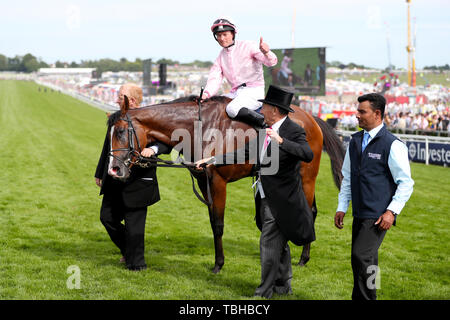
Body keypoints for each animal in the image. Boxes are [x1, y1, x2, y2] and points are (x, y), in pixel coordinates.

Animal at [108, 95, 344, 272]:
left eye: (120, 131)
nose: (114, 169)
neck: (201, 128)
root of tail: (312, 118)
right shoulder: (204, 183)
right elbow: (213, 222)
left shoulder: (218, 183)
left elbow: (219, 225)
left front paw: (219, 264)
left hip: (307, 177)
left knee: (309, 211)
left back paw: (303, 258)